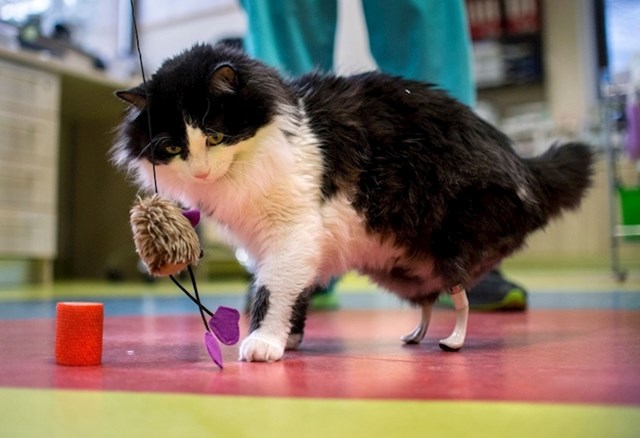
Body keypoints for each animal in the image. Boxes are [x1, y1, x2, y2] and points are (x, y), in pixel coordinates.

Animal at [111, 42, 596, 362]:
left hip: (452, 243)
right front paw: (289, 338)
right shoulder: (274, 246)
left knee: (459, 299)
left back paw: (453, 341)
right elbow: (290, 290)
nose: (200, 173)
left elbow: (272, 289)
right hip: (402, 267)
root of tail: (524, 166)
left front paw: (264, 343)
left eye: (214, 137)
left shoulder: (292, 233)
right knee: (427, 300)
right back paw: (414, 336)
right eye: (173, 148)